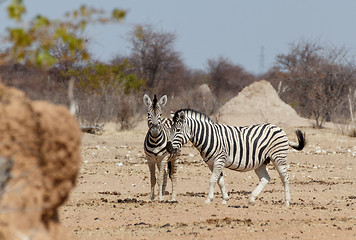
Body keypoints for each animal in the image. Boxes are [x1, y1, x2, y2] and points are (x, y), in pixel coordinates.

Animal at [165, 109, 304, 206]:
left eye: (178, 130)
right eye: (170, 131)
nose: (169, 148)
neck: (208, 136)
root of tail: (279, 129)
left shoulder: (219, 159)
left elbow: (212, 180)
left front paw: (209, 199)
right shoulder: (211, 163)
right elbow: (220, 180)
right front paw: (225, 199)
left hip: (278, 157)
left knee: (285, 178)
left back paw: (287, 202)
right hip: (261, 162)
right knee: (265, 178)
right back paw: (252, 199)